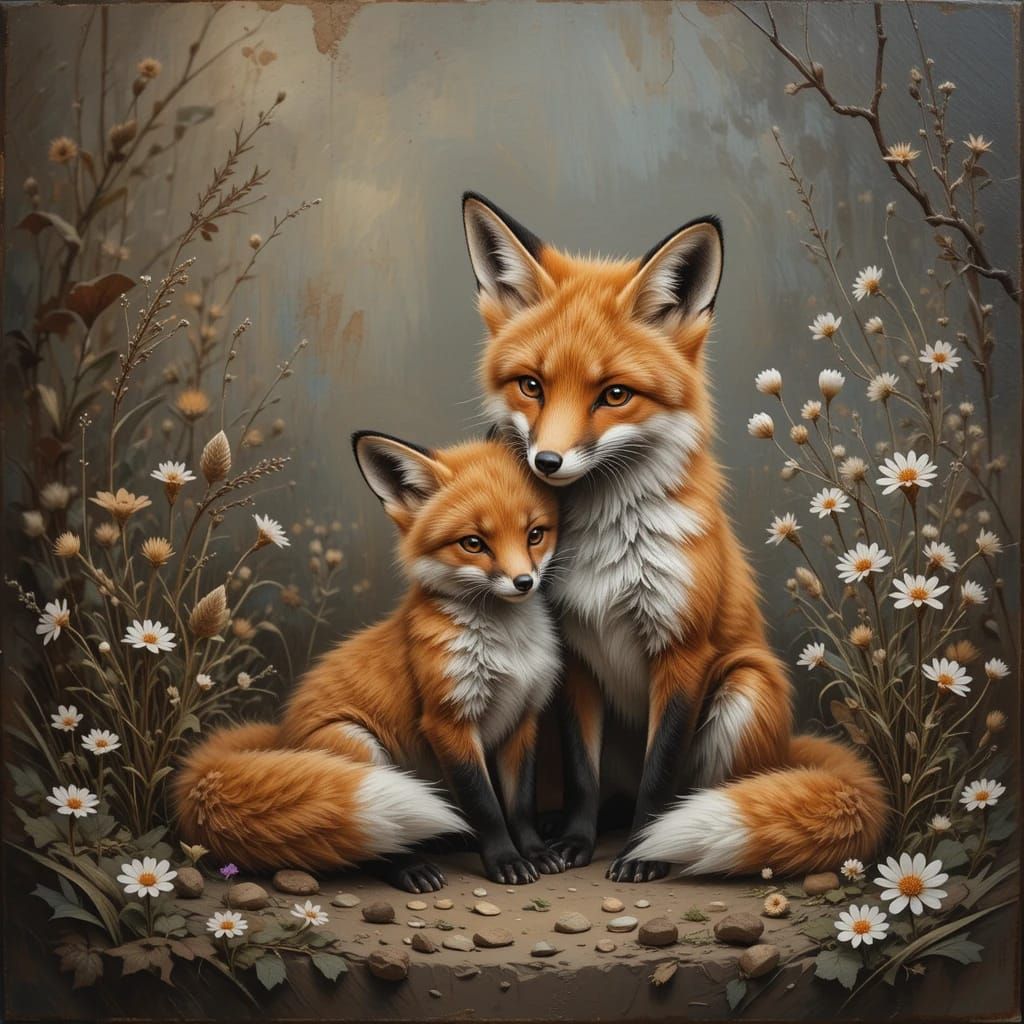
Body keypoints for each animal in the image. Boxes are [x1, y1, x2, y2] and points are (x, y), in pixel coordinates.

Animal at [175, 432, 566, 892]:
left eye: (535, 534)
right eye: (473, 543)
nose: (524, 582)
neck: (507, 649)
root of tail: (280, 737)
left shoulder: (523, 717)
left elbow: (520, 803)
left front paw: (535, 852)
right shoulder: (448, 720)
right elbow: (484, 805)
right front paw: (505, 860)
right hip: (357, 745)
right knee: (369, 840)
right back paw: (410, 866)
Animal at [461, 192, 889, 883]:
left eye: (614, 395)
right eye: (532, 385)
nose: (546, 463)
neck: (610, 547)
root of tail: (787, 748)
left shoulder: (684, 653)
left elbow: (660, 779)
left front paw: (643, 853)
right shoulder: (576, 655)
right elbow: (583, 774)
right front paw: (576, 842)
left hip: (745, 687)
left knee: (710, 790)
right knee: (609, 789)